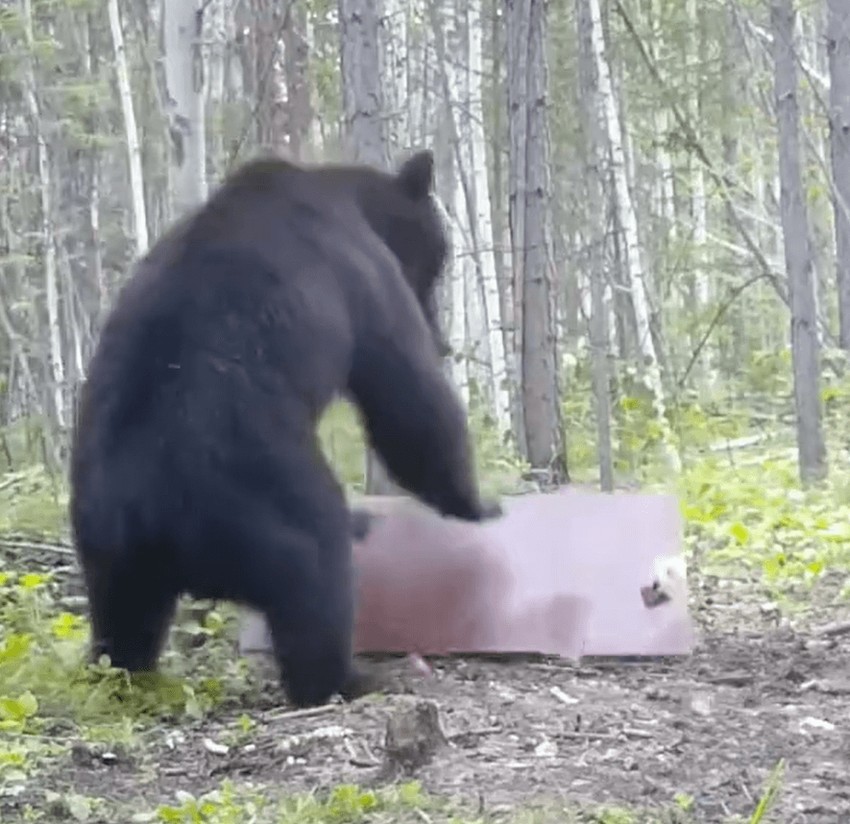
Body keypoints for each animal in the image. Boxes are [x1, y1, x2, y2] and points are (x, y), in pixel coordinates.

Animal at [71, 153, 504, 708]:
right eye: (438, 257)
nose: (442, 337)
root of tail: (146, 516)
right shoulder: (361, 274)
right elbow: (408, 394)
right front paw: (478, 503)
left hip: (107, 548)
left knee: (122, 623)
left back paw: (122, 674)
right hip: (259, 494)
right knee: (316, 572)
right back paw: (350, 675)